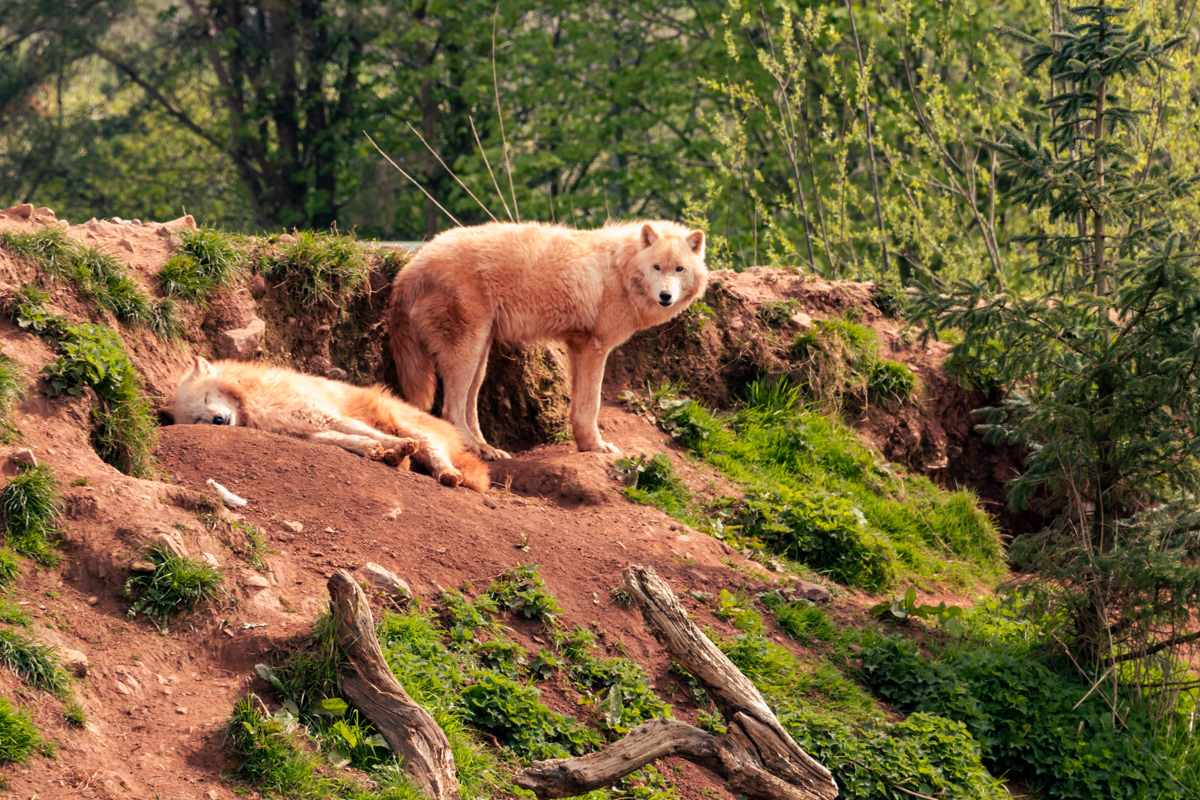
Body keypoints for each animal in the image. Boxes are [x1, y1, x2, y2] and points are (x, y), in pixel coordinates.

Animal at [167, 357, 490, 492]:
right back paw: (396, 460)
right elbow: (348, 441)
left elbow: (365, 432)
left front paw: (392, 447)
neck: (257, 401)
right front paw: (374, 450)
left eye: (207, 398)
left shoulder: (323, 415)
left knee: (434, 451)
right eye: (197, 419)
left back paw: (444, 473)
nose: (219, 420)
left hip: (405, 425)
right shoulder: (309, 432)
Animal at [388, 220, 707, 459]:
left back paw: (487, 448)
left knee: (468, 407)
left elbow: (578, 408)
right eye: (657, 267)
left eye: (679, 269)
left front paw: (586, 445)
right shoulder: (597, 347)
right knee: (450, 410)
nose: (666, 296)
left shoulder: (578, 346)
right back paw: (473, 448)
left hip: (480, 356)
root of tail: (411, 267)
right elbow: (591, 405)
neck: (620, 270)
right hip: (467, 351)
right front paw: (597, 446)